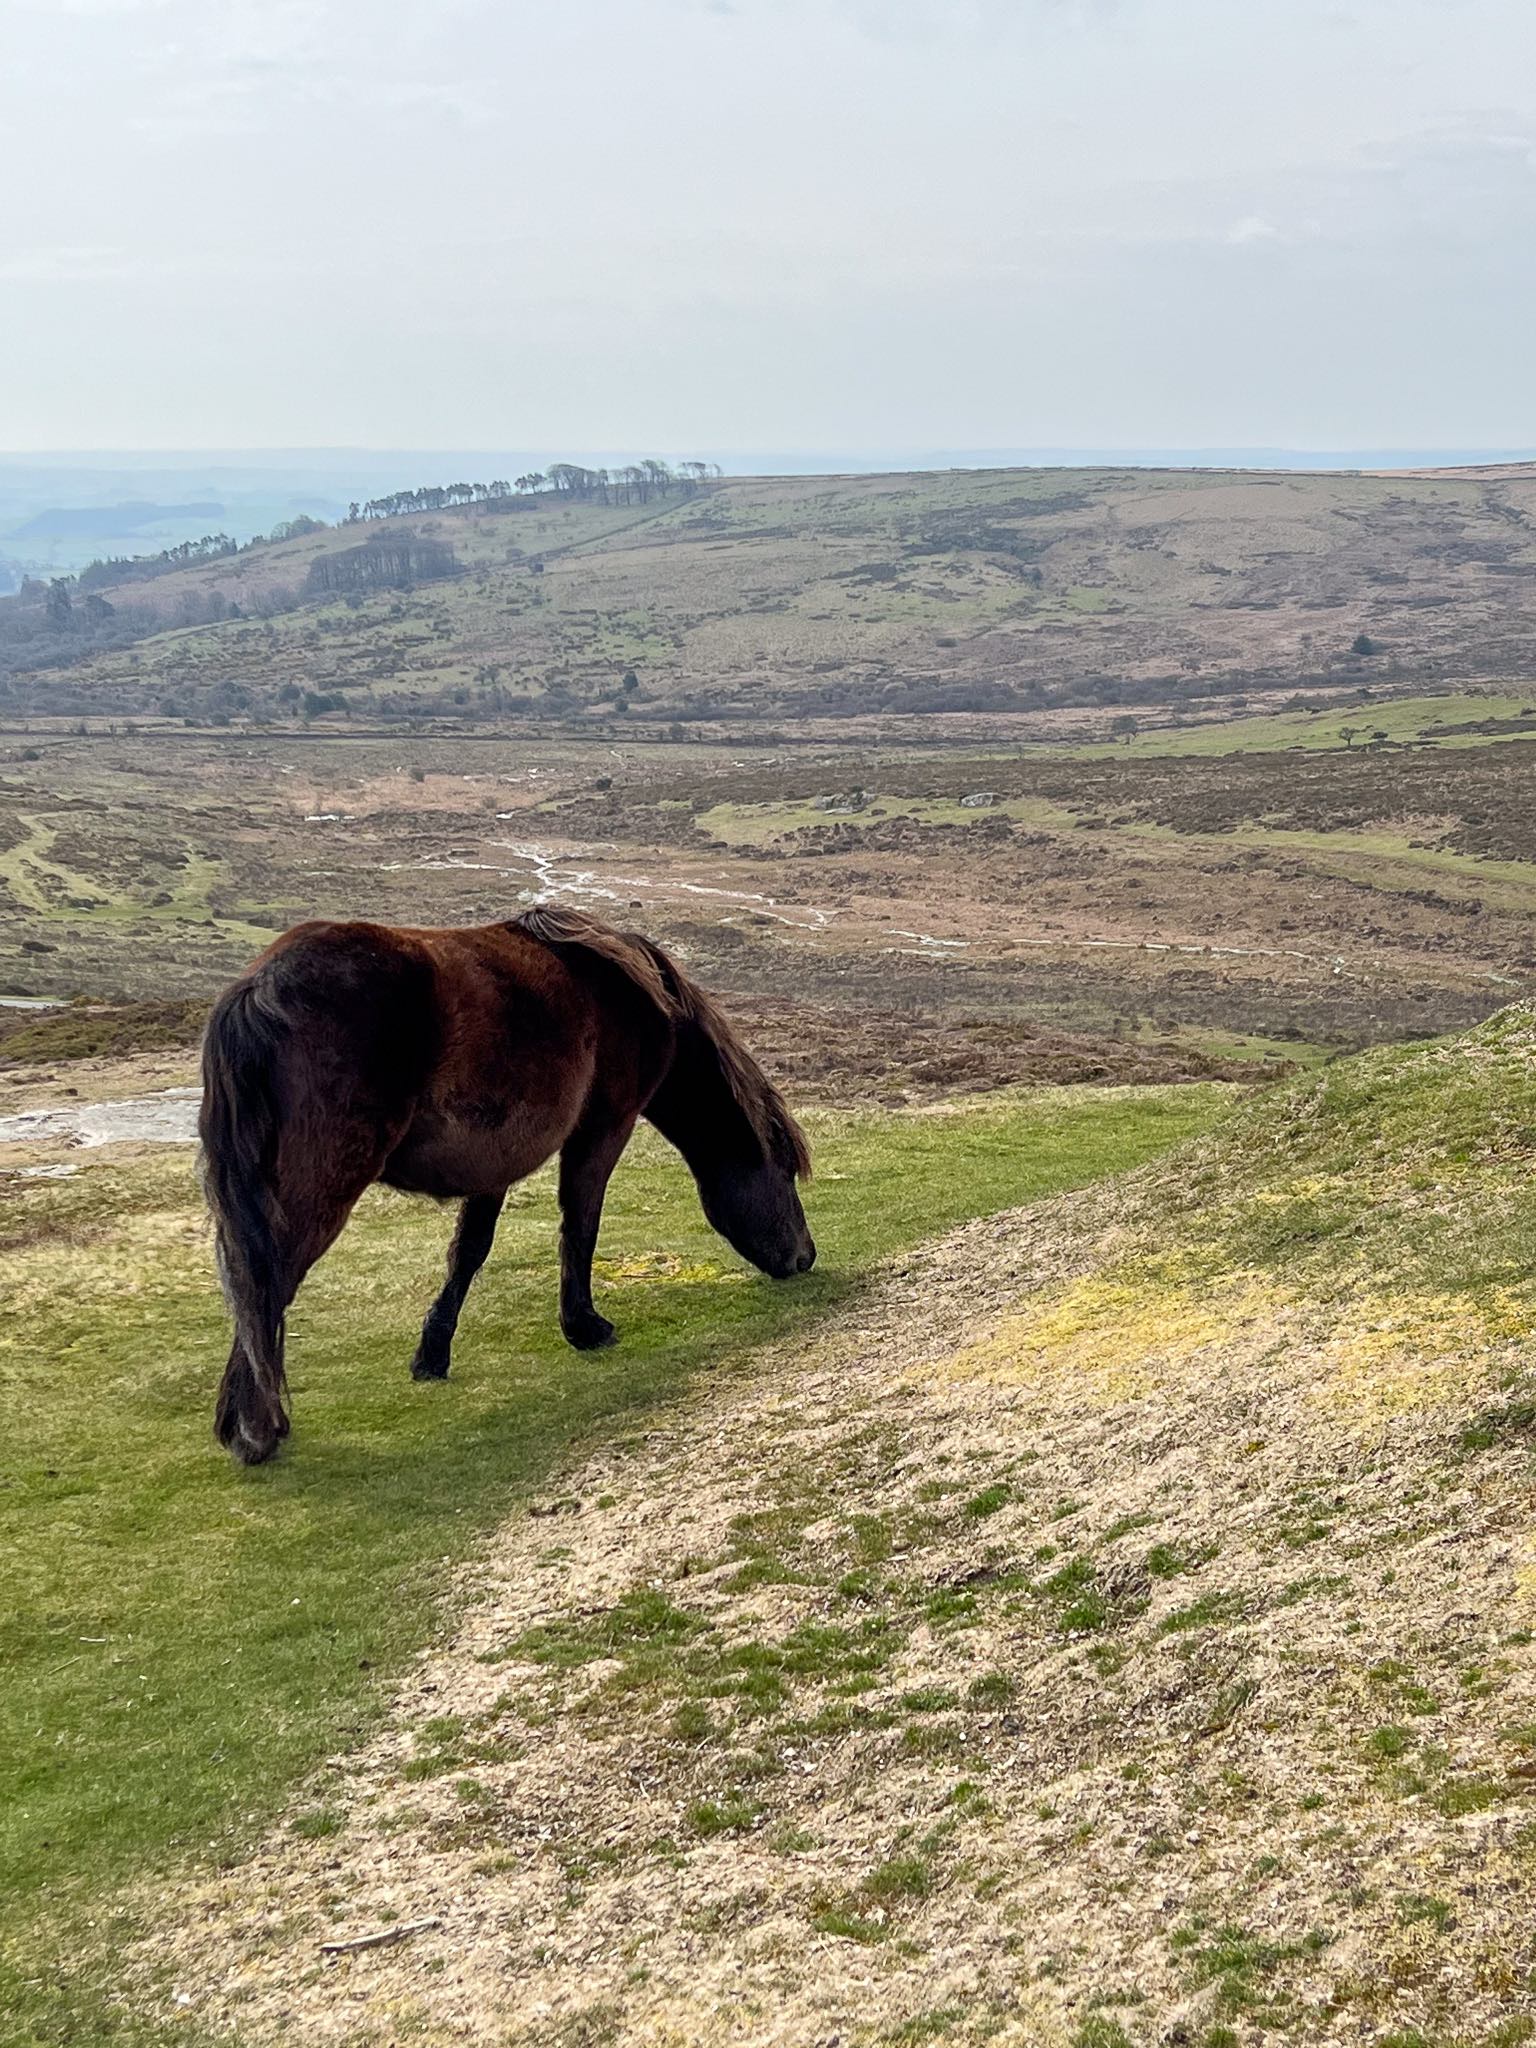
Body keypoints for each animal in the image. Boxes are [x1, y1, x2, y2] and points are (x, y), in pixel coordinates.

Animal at [201, 905, 819, 1466]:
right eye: (786, 1171)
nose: (806, 1257)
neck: (636, 994)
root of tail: (257, 989)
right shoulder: (604, 1127)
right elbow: (581, 1224)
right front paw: (584, 1326)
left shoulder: (494, 1160)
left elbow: (470, 1250)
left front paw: (433, 1354)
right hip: (319, 1186)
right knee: (267, 1281)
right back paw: (257, 1430)